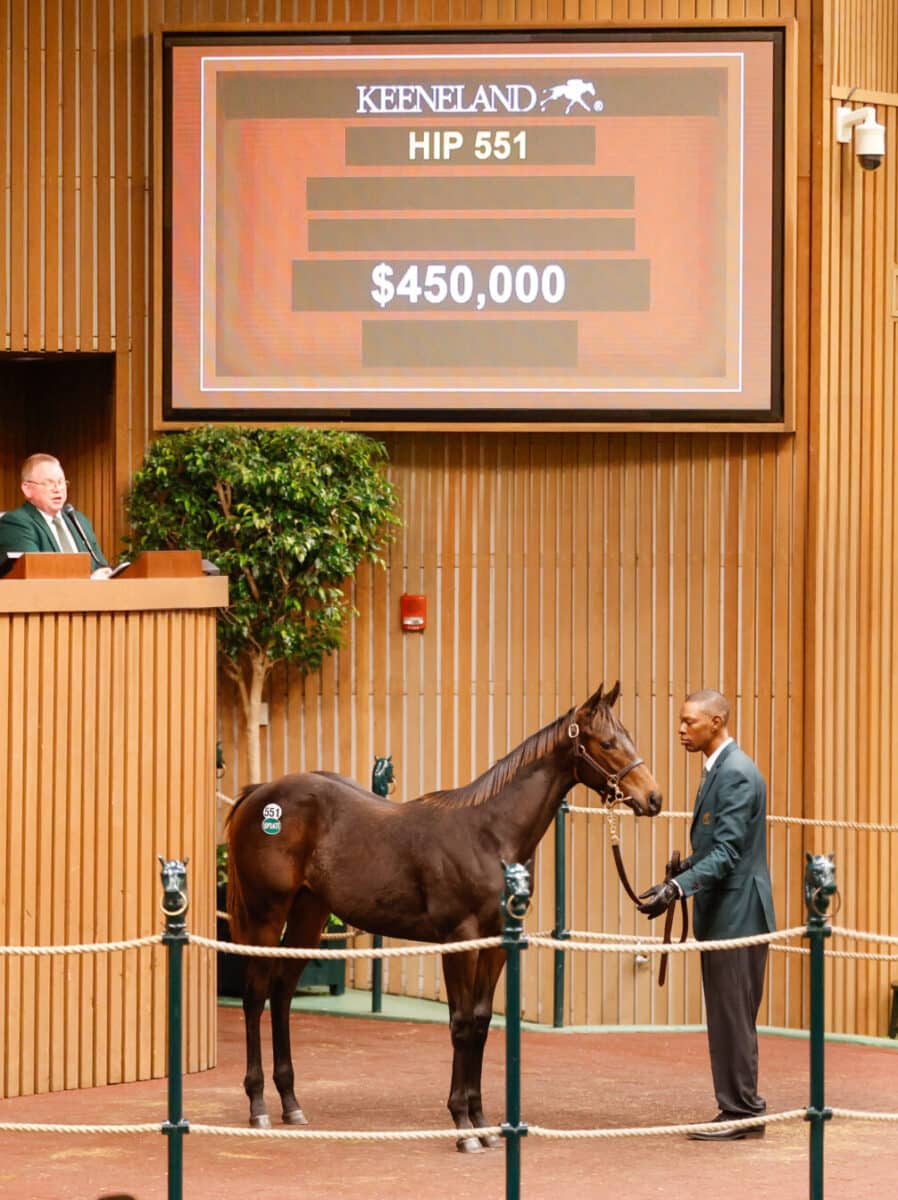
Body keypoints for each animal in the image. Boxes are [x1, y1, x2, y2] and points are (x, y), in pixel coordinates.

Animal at [224, 681, 657, 1147]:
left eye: (629, 736)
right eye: (607, 743)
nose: (654, 798)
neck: (489, 836)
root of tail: (260, 793)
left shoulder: (496, 942)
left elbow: (482, 1023)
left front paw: (484, 1122)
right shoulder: (458, 940)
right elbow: (461, 1023)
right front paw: (463, 1125)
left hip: (310, 915)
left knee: (282, 992)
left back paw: (291, 1104)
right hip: (266, 915)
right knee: (255, 995)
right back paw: (258, 1107)